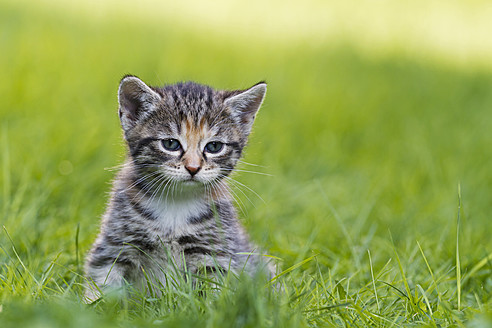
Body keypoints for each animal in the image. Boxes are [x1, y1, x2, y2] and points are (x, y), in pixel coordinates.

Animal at [83, 75, 270, 302]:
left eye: (214, 147)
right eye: (171, 144)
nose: (193, 168)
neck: (176, 202)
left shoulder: (215, 252)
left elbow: (214, 293)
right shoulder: (115, 244)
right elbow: (102, 280)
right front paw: (95, 305)